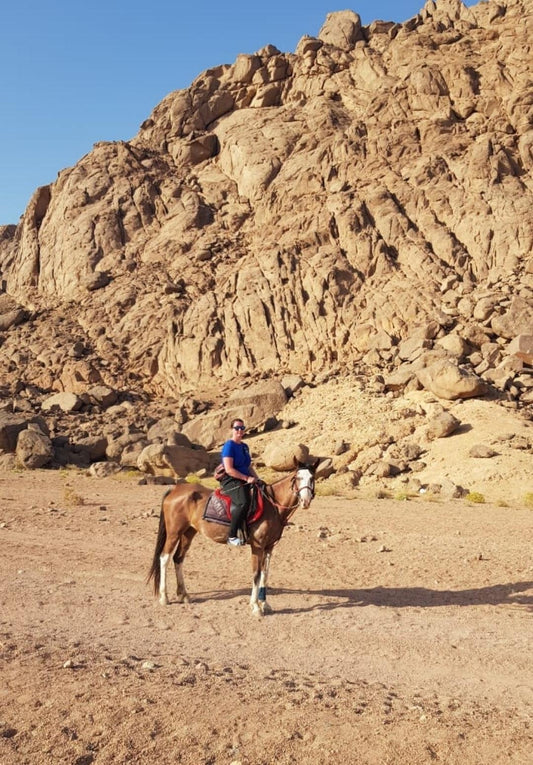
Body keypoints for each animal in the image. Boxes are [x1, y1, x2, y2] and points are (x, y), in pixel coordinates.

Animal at [147, 460, 316, 616]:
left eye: (312, 478)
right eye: (298, 477)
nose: (305, 501)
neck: (272, 506)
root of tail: (175, 489)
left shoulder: (269, 547)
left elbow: (265, 574)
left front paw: (265, 604)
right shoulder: (258, 546)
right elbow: (256, 574)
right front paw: (255, 606)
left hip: (188, 532)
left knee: (178, 558)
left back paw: (184, 595)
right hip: (174, 533)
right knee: (164, 558)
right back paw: (164, 597)